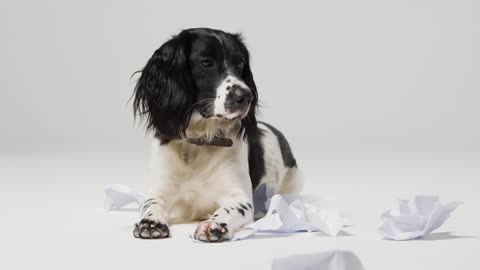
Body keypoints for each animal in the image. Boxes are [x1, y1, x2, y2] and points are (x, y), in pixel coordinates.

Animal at [131, 28, 304, 243]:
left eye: (239, 64)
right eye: (206, 63)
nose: (246, 96)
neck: (199, 141)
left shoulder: (239, 197)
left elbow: (228, 210)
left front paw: (214, 224)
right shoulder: (158, 189)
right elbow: (151, 204)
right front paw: (150, 222)